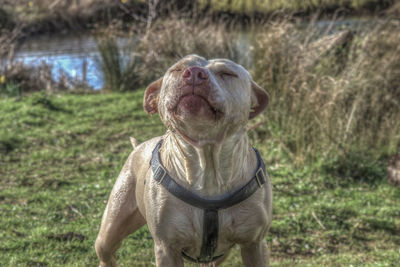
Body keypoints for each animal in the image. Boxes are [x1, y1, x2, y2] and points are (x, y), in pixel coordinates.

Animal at [95, 55, 274, 267]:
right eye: (177, 69)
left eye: (227, 73)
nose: (195, 73)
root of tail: (138, 146)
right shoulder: (166, 248)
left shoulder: (255, 244)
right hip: (110, 229)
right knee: (107, 252)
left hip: (222, 255)